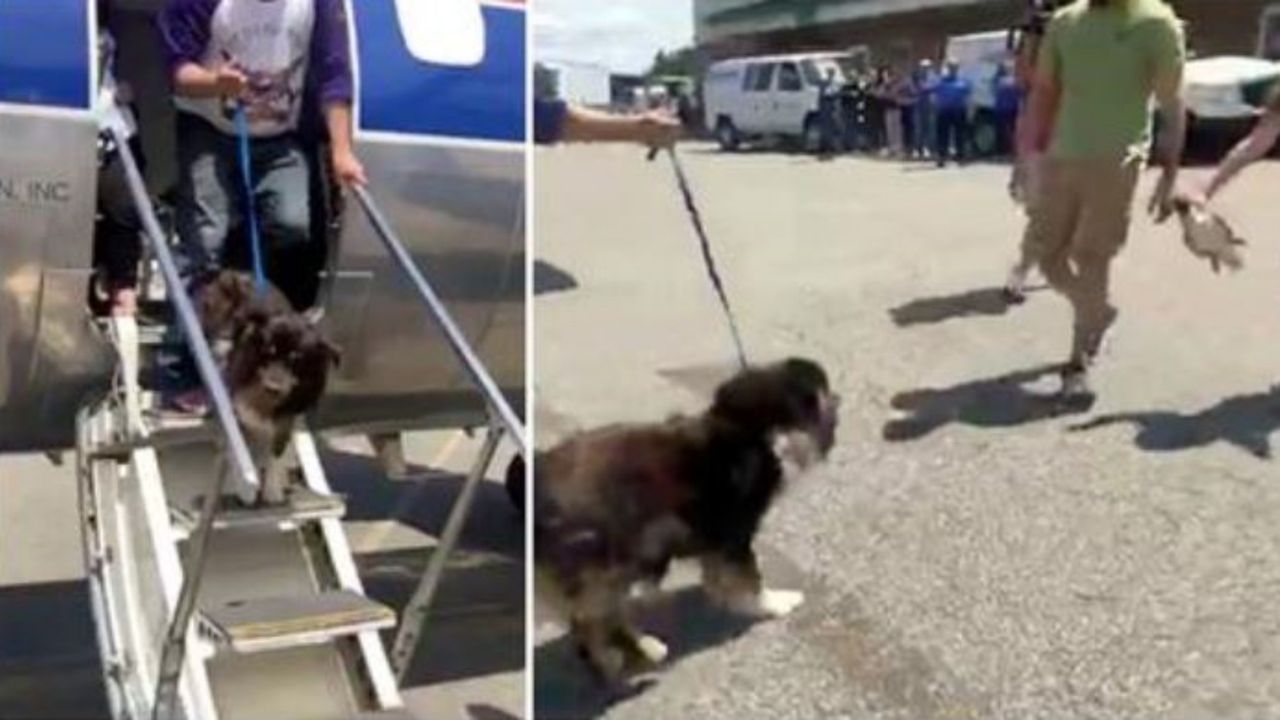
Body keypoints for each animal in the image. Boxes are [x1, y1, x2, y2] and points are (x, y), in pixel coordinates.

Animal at [532, 356, 839, 681]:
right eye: (823, 388)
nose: (839, 397)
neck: (753, 429)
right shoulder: (734, 534)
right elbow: (749, 579)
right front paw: (773, 604)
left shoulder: (716, 540)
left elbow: (721, 579)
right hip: (612, 562)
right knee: (593, 619)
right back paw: (637, 652)